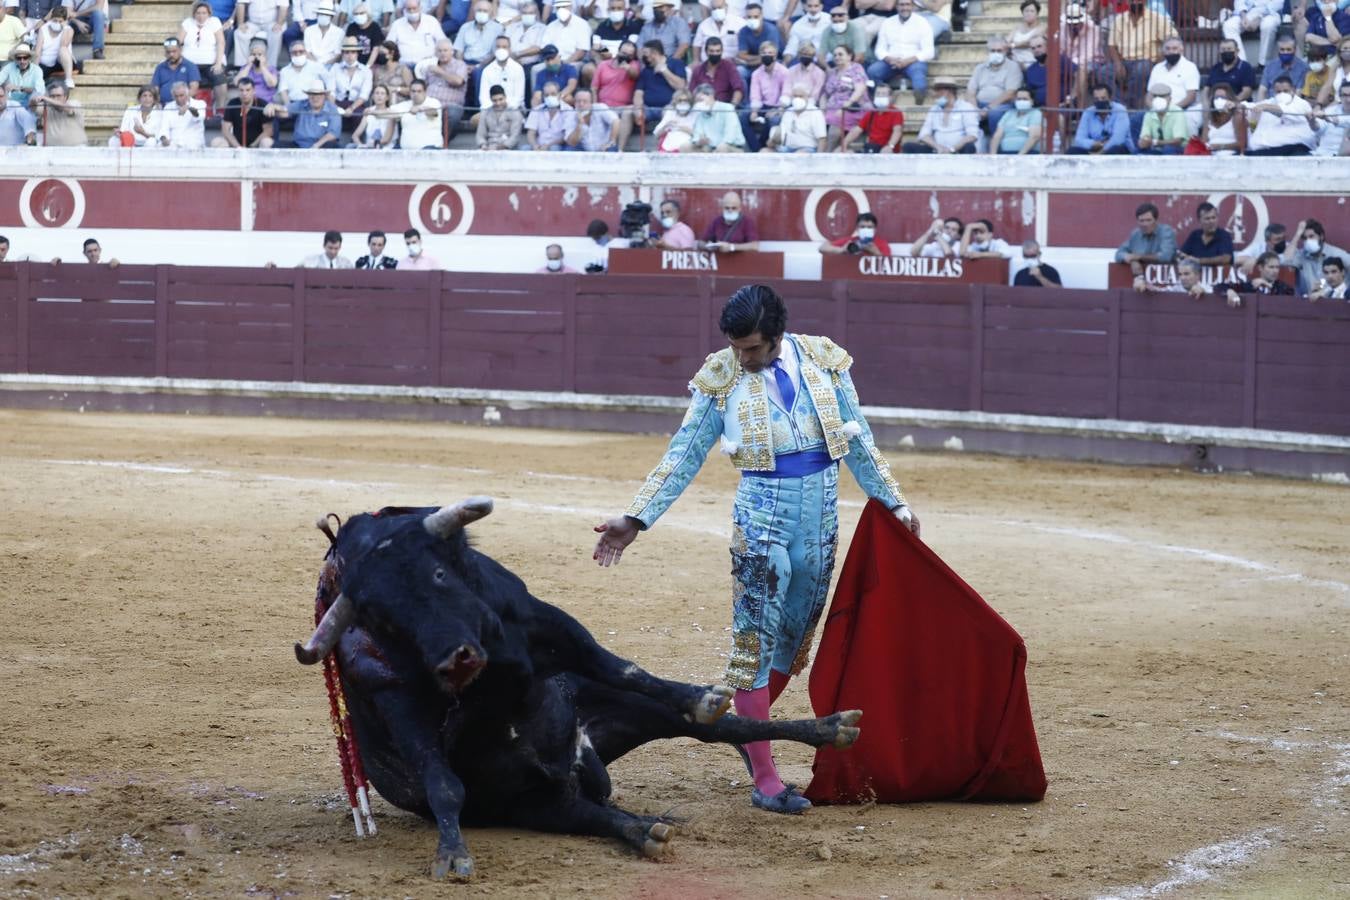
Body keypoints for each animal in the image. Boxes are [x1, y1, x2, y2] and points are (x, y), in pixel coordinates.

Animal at [295, 499, 864, 879]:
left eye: (437, 574)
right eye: (383, 618)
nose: (456, 659)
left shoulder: (545, 623)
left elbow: (623, 668)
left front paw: (699, 696)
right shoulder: (397, 698)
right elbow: (441, 780)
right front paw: (452, 854)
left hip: (623, 717)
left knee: (726, 728)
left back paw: (828, 728)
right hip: (528, 802)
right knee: (590, 812)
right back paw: (646, 830)